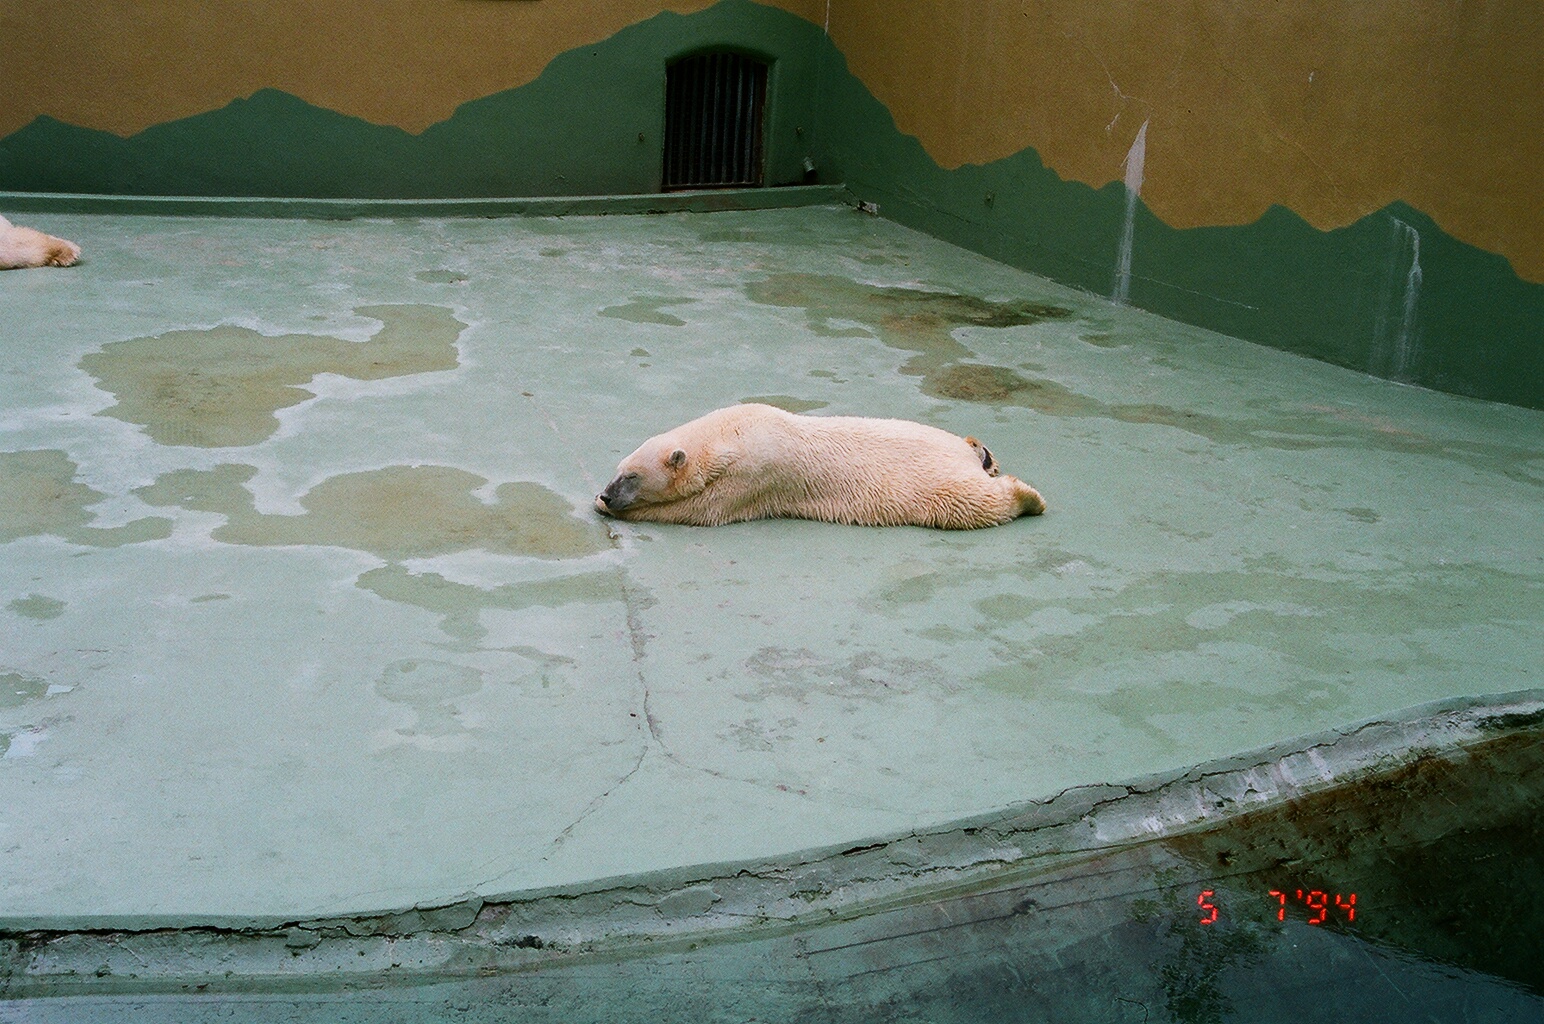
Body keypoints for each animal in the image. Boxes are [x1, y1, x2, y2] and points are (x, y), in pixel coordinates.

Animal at [595, 403, 1045, 529]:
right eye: (619, 469)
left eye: (631, 477)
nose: (607, 494)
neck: (732, 432)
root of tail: (965, 453)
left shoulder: (757, 473)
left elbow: (705, 509)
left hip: (936, 480)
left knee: (972, 502)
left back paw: (1029, 497)